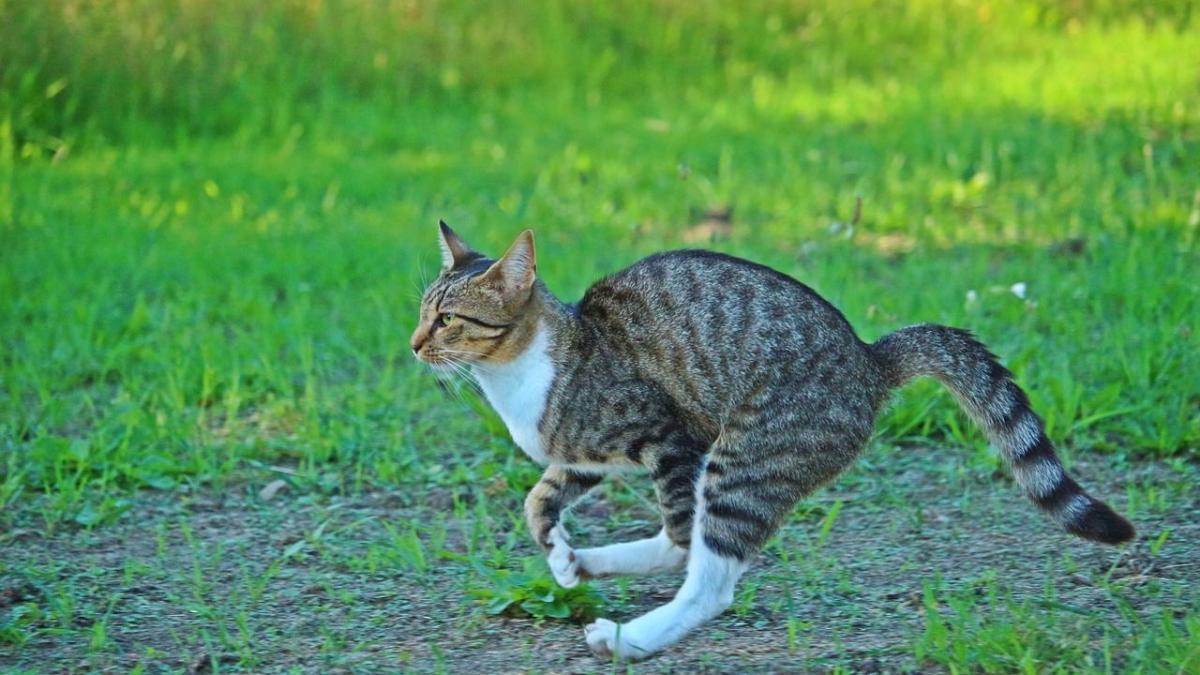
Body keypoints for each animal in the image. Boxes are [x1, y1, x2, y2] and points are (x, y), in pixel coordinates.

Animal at [412, 220, 1132, 658]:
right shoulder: (582, 454)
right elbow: (537, 499)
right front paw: (560, 553)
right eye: (422, 310)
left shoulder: (668, 436)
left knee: (704, 569)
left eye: (448, 319)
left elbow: (675, 536)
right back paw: (592, 563)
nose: (415, 344)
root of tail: (870, 359)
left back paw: (630, 636)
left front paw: (573, 560)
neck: (517, 374)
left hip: (742, 457)